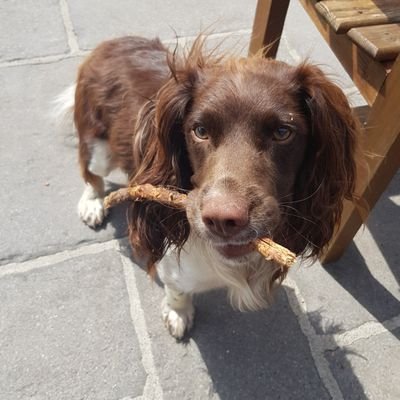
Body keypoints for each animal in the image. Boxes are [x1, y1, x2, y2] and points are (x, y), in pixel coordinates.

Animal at [57, 36, 360, 340]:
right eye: (200, 130)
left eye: (283, 132)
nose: (223, 220)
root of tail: (112, 43)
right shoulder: (172, 263)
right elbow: (177, 289)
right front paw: (178, 313)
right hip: (99, 148)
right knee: (91, 174)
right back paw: (92, 204)